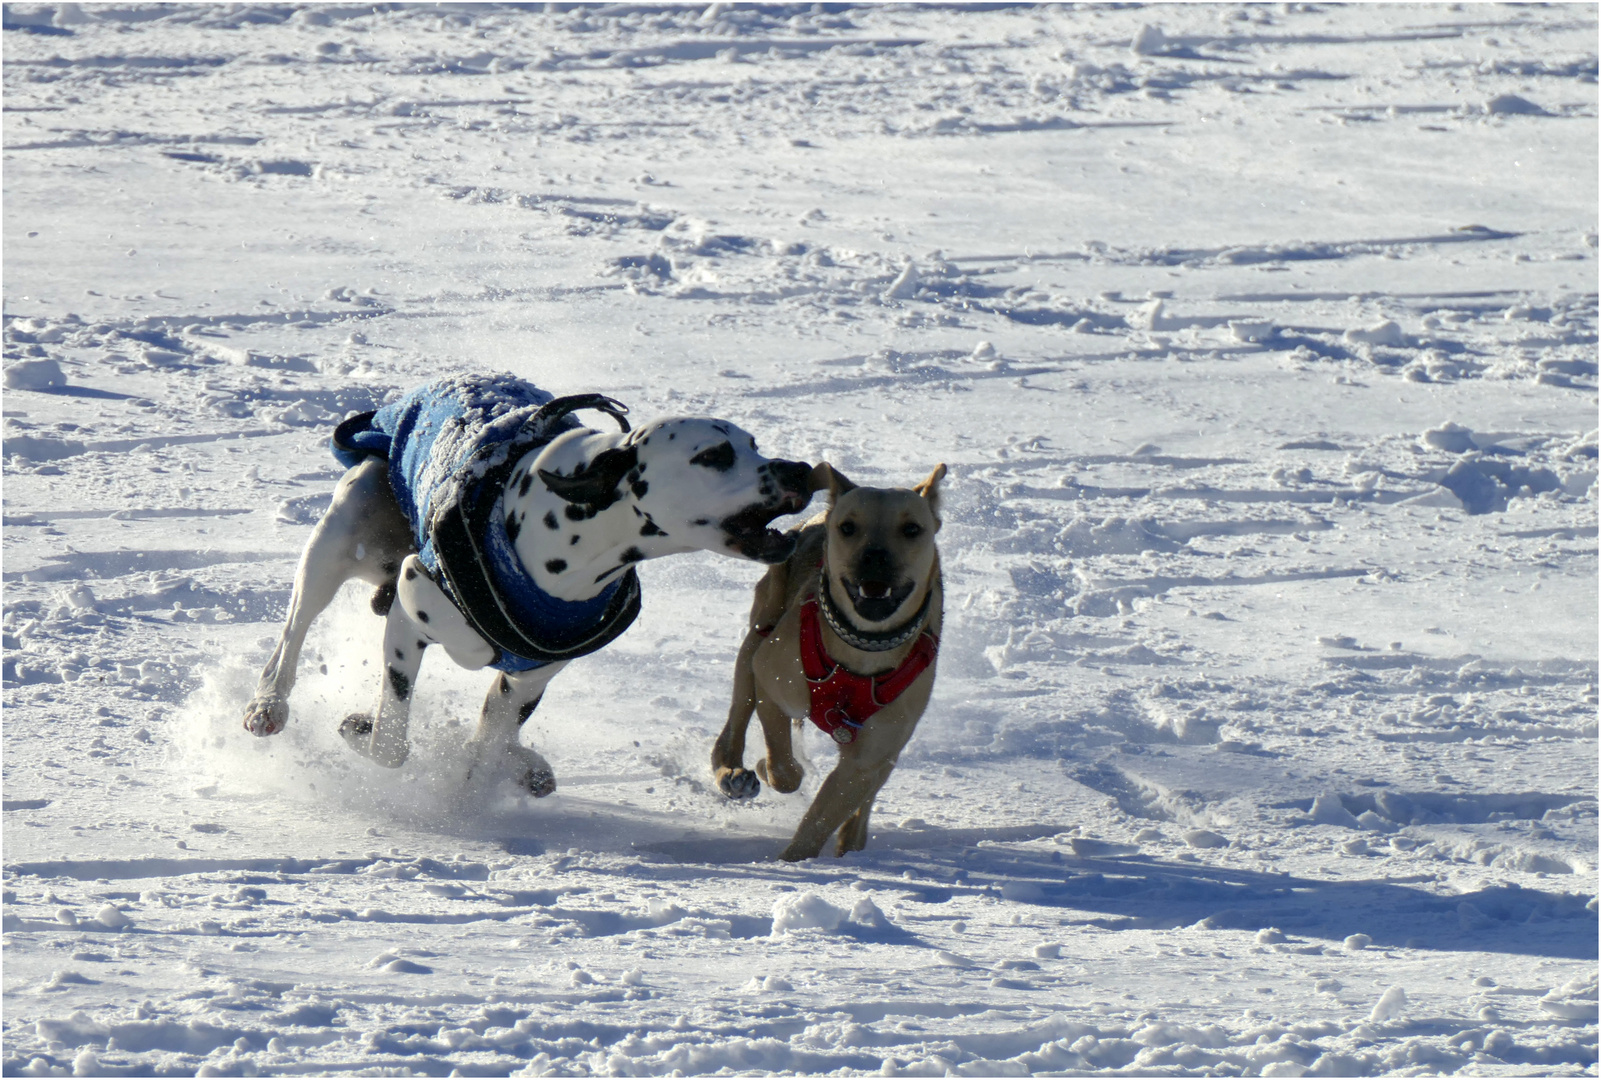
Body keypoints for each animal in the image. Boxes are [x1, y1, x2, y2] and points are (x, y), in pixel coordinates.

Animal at [240, 376, 813, 800]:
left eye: (753, 445)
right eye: (713, 455)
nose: (801, 469)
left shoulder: (532, 675)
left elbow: (487, 743)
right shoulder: (409, 614)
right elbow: (391, 743)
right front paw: (364, 729)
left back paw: (526, 765)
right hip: (337, 541)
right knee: (293, 634)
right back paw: (268, 704)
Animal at [710, 464, 934, 864]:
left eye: (912, 529)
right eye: (848, 527)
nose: (874, 557)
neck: (862, 650)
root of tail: (813, 519)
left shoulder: (871, 754)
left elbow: (828, 811)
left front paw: (799, 861)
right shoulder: (773, 680)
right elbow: (783, 767)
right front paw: (769, 769)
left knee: (868, 793)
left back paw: (853, 842)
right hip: (757, 637)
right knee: (735, 721)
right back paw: (733, 772)